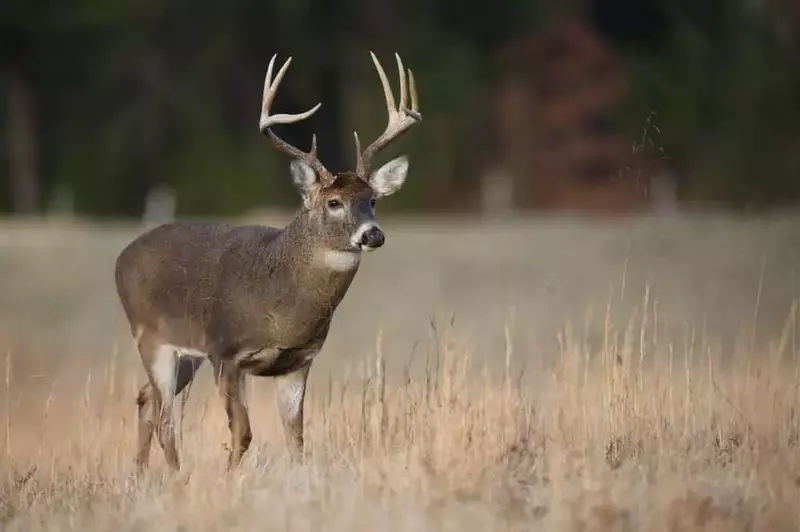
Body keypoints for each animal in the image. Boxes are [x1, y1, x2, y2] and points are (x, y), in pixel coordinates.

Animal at [115, 52, 422, 472]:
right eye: (333, 202)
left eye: (372, 200)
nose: (372, 234)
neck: (281, 306)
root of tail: (122, 258)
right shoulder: (225, 352)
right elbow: (243, 433)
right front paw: (230, 478)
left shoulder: (297, 361)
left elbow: (296, 439)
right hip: (151, 337)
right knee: (164, 417)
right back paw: (176, 476)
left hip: (185, 354)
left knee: (146, 399)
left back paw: (143, 474)